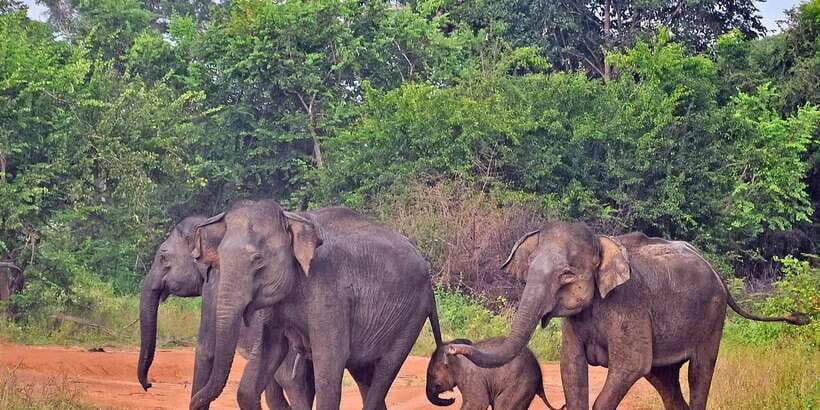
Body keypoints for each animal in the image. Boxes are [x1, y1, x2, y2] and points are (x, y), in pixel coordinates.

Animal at [188, 201, 444, 410]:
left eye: (258, 260)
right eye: (219, 259)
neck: (292, 219)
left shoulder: (330, 290)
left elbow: (329, 369)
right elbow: (268, 356)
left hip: (411, 315)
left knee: (384, 370)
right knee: (364, 373)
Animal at [426, 337, 563, 410]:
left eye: (432, 376)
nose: (452, 399)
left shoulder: (471, 376)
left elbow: (478, 403)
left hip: (521, 384)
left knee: (503, 406)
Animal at [446, 222, 809, 410]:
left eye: (566, 275)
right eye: (528, 270)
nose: (452, 348)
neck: (600, 240)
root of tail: (713, 267)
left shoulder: (629, 304)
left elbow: (631, 364)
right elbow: (570, 366)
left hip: (712, 316)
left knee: (699, 371)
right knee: (663, 378)